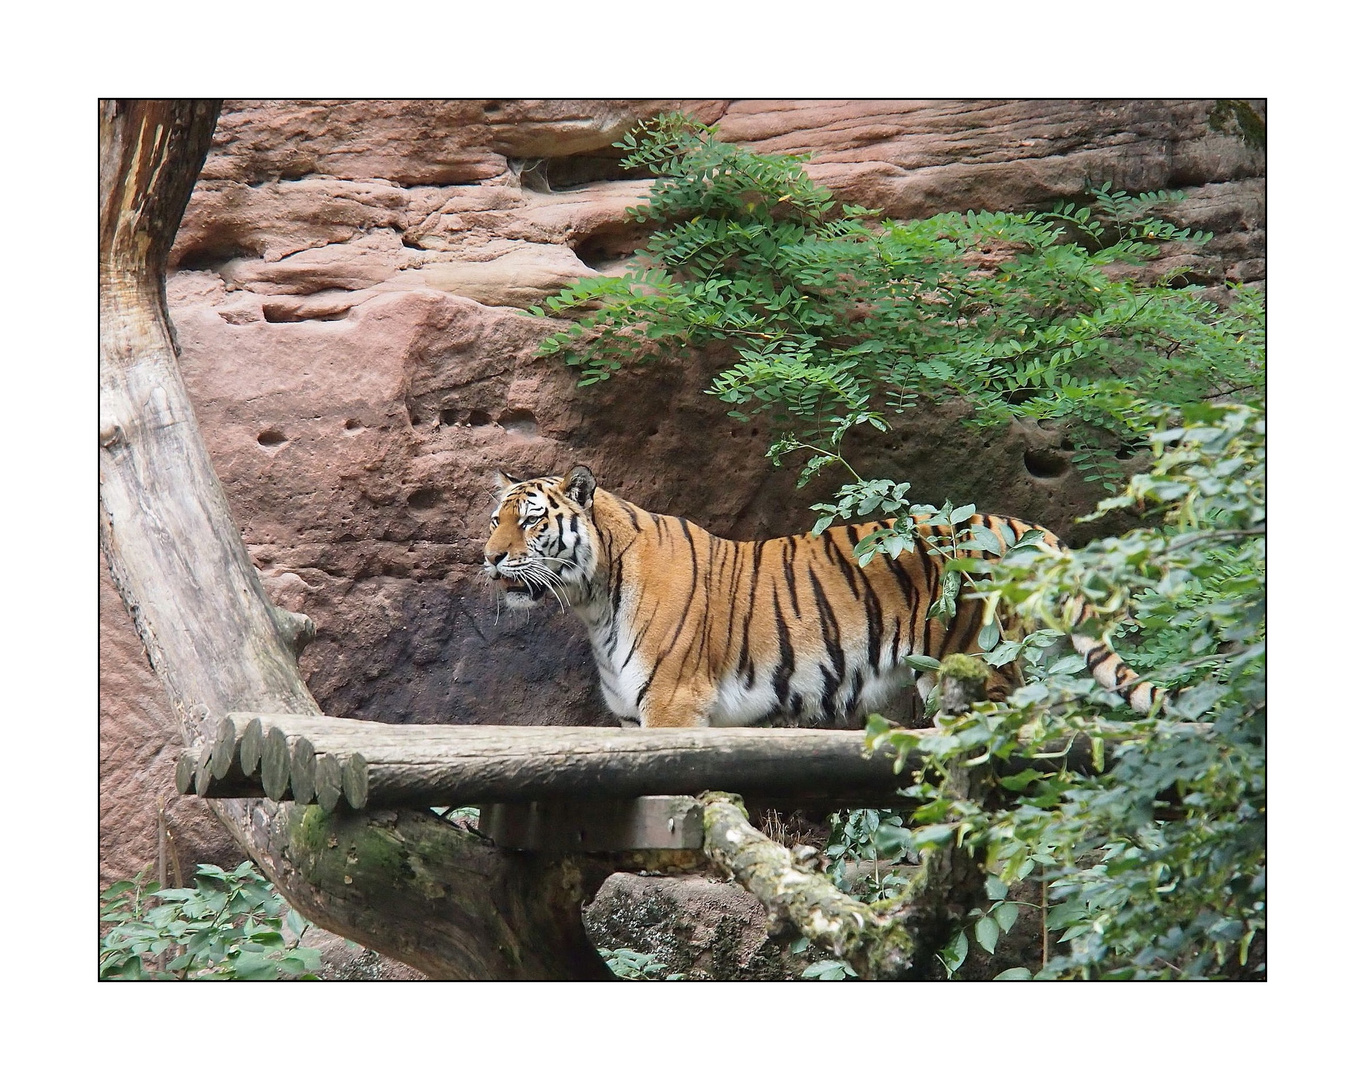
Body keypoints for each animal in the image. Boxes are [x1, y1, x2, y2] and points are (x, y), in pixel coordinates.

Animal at [480, 461, 1162, 731]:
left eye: (533, 521)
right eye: (495, 519)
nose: (488, 558)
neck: (594, 602)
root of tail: (1020, 524)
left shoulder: (673, 708)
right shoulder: (627, 718)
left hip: (974, 671)